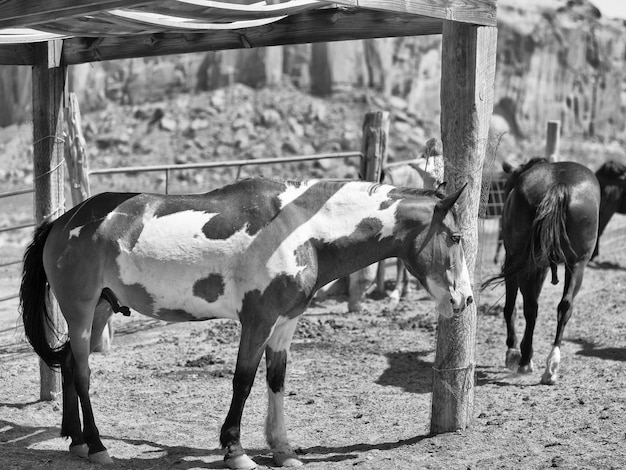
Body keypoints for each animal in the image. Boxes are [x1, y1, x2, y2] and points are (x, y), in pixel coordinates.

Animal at [19, 178, 470, 468]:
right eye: (456, 237)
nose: (464, 299)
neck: (299, 227)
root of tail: (62, 222)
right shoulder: (257, 321)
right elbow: (244, 381)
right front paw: (235, 451)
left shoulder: (285, 324)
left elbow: (276, 381)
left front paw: (283, 451)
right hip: (80, 312)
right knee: (81, 373)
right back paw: (96, 446)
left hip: (99, 310)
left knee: (68, 364)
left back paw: (76, 441)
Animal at [480, 158, 596, 386]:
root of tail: (559, 186)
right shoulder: (541, 266)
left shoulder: (515, 262)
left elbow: (510, 307)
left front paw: (513, 351)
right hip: (577, 264)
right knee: (564, 306)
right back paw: (551, 365)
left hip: (521, 261)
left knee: (530, 308)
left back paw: (524, 359)